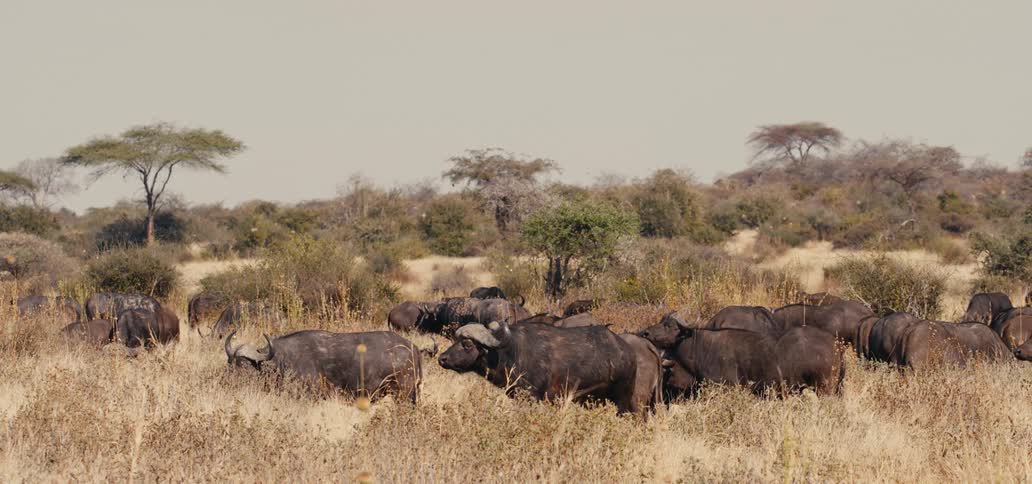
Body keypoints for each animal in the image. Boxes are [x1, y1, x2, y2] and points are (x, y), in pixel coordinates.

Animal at [225, 330, 423, 403]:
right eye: (231, 366)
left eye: (246, 366)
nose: (230, 384)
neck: (282, 361)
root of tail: (412, 347)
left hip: (403, 394)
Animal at [438, 321, 643, 414]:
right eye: (456, 339)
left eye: (467, 344)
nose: (442, 358)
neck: (511, 352)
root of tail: (628, 352)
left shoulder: (532, 397)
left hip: (622, 399)